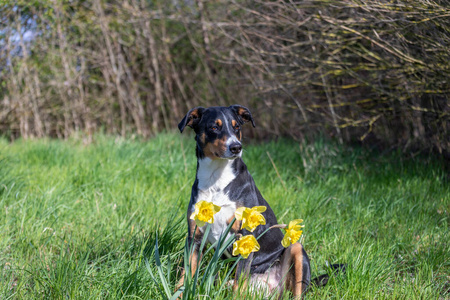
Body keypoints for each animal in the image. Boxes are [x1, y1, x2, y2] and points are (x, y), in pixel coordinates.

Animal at [178, 105, 312, 298]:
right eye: (214, 127)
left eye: (237, 127)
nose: (236, 147)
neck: (215, 180)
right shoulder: (194, 238)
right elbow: (184, 278)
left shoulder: (244, 238)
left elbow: (239, 283)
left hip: (296, 248)